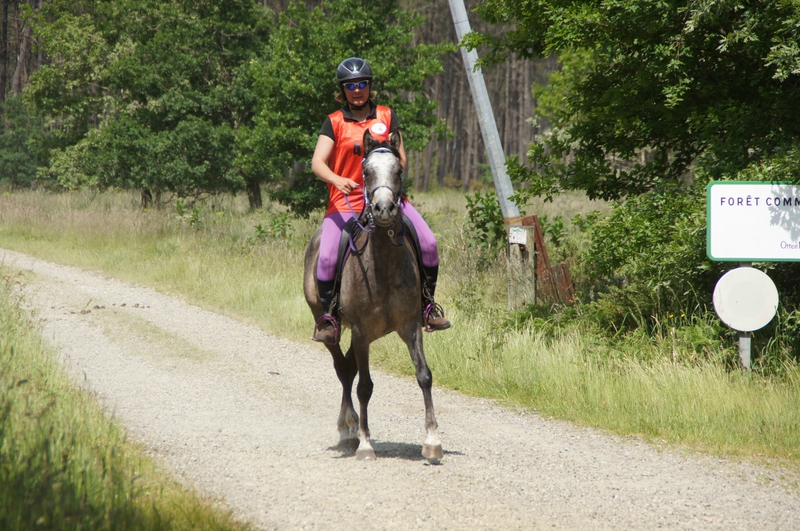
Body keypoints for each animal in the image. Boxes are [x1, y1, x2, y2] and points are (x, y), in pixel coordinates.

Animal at [304, 130, 444, 462]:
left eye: (399, 170)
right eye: (366, 171)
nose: (383, 209)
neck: (383, 266)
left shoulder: (410, 327)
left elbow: (424, 375)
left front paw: (432, 440)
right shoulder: (360, 331)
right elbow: (364, 386)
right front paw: (366, 444)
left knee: (349, 367)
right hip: (328, 322)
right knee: (344, 371)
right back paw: (348, 431)